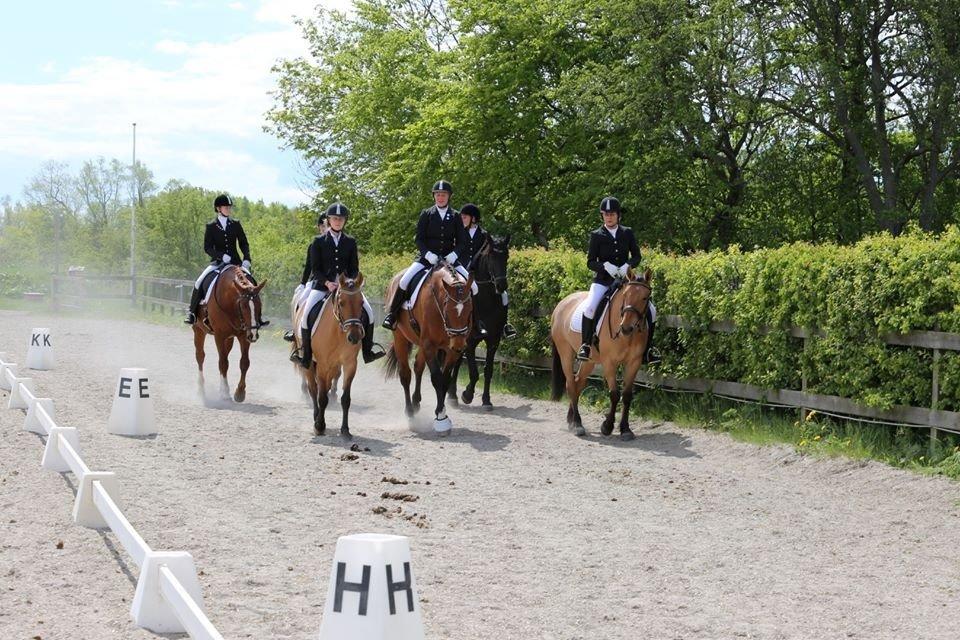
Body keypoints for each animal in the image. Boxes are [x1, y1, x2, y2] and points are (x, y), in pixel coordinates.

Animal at [192, 264, 266, 402]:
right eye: (243, 306)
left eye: (259, 304)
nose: (253, 335)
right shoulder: (219, 336)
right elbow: (223, 363)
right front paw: (225, 393)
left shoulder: (244, 335)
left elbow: (244, 362)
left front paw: (240, 392)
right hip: (198, 330)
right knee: (200, 356)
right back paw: (200, 389)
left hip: (230, 338)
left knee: (225, 355)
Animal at [290, 272, 366, 438]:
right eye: (342, 303)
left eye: (361, 302)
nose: (354, 337)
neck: (338, 332)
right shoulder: (323, 365)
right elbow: (322, 397)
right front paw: (319, 426)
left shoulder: (349, 364)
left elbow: (346, 399)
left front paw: (345, 429)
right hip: (308, 361)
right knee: (313, 389)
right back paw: (316, 416)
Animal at [382, 262, 472, 436]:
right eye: (447, 309)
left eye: (470, 311)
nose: (459, 346)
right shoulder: (430, 345)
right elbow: (436, 378)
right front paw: (442, 419)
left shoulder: (449, 351)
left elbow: (445, 379)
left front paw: (440, 412)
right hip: (400, 338)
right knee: (405, 374)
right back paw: (410, 413)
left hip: (422, 343)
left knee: (418, 366)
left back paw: (416, 402)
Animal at [448, 232, 510, 408]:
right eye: (491, 256)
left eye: (506, 256)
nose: (502, 286)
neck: (486, 300)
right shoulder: (469, 340)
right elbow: (474, 373)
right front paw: (467, 395)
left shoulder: (493, 340)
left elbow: (488, 371)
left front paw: (486, 400)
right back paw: (452, 395)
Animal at [548, 266, 652, 440]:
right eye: (625, 295)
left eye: (645, 298)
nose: (626, 328)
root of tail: (562, 303)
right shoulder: (609, 363)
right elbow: (614, 394)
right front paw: (607, 426)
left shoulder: (634, 362)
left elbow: (627, 395)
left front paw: (625, 429)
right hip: (565, 353)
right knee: (571, 384)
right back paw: (577, 424)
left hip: (589, 361)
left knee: (578, 382)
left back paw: (571, 420)